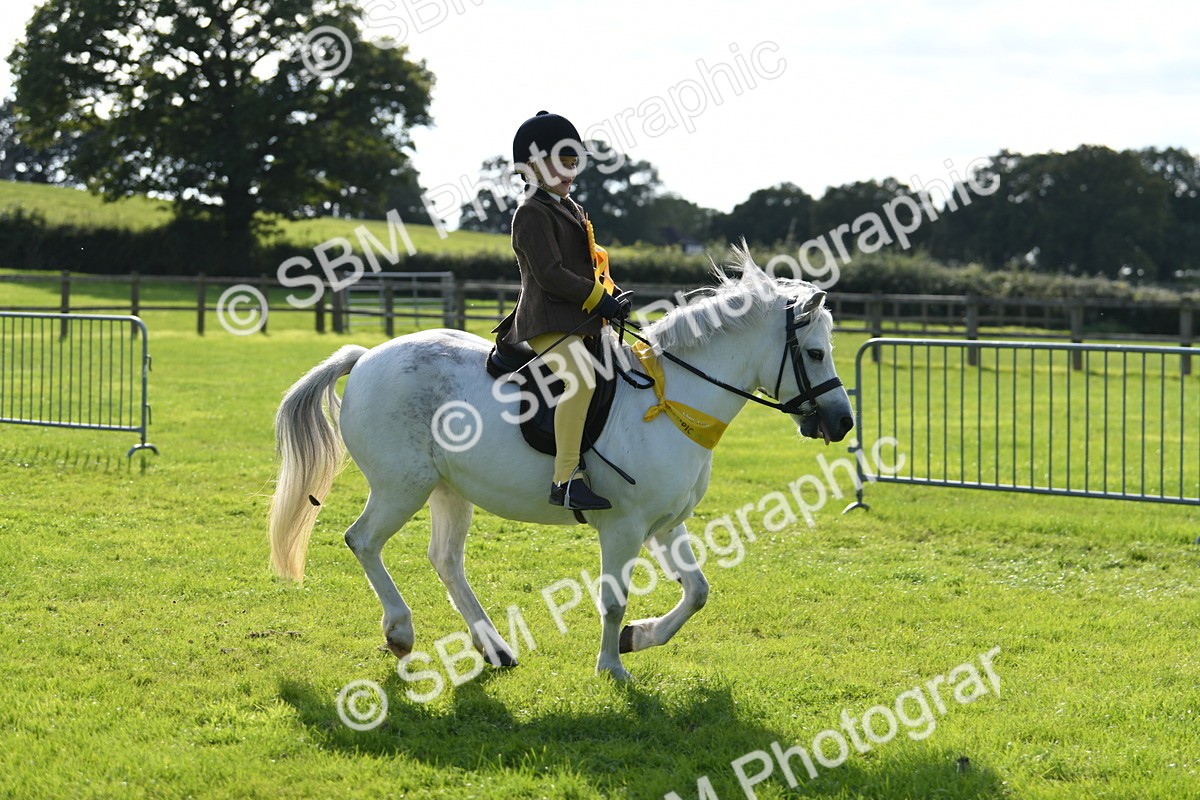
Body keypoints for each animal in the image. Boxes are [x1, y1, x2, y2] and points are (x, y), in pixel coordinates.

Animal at [268, 252, 854, 681]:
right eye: (816, 353)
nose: (844, 422)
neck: (671, 402)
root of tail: (366, 356)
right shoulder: (624, 527)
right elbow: (613, 599)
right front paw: (612, 666)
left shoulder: (666, 524)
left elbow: (698, 591)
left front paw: (637, 639)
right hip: (400, 487)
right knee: (363, 540)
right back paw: (401, 633)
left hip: (447, 489)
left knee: (445, 560)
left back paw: (494, 648)